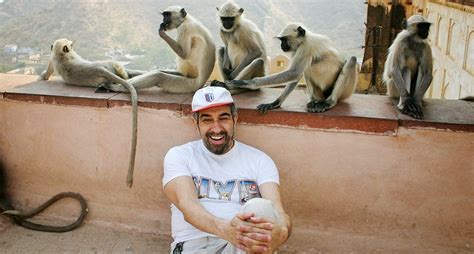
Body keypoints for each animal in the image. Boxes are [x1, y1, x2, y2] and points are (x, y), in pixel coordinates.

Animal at [39, 38, 139, 189]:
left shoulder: (53, 57)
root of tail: (98, 69)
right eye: (70, 44)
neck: (62, 56)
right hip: (109, 65)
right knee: (120, 70)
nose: (73, 44)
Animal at [213, 23, 358, 113]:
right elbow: (295, 75)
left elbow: (294, 72)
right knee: (306, 70)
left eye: (284, 40)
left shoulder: (306, 47)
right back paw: (314, 101)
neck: (304, 39)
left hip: (345, 92)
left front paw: (246, 83)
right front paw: (275, 103)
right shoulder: (298, 50)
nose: (282, 45)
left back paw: (329, 102)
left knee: (352, 60)